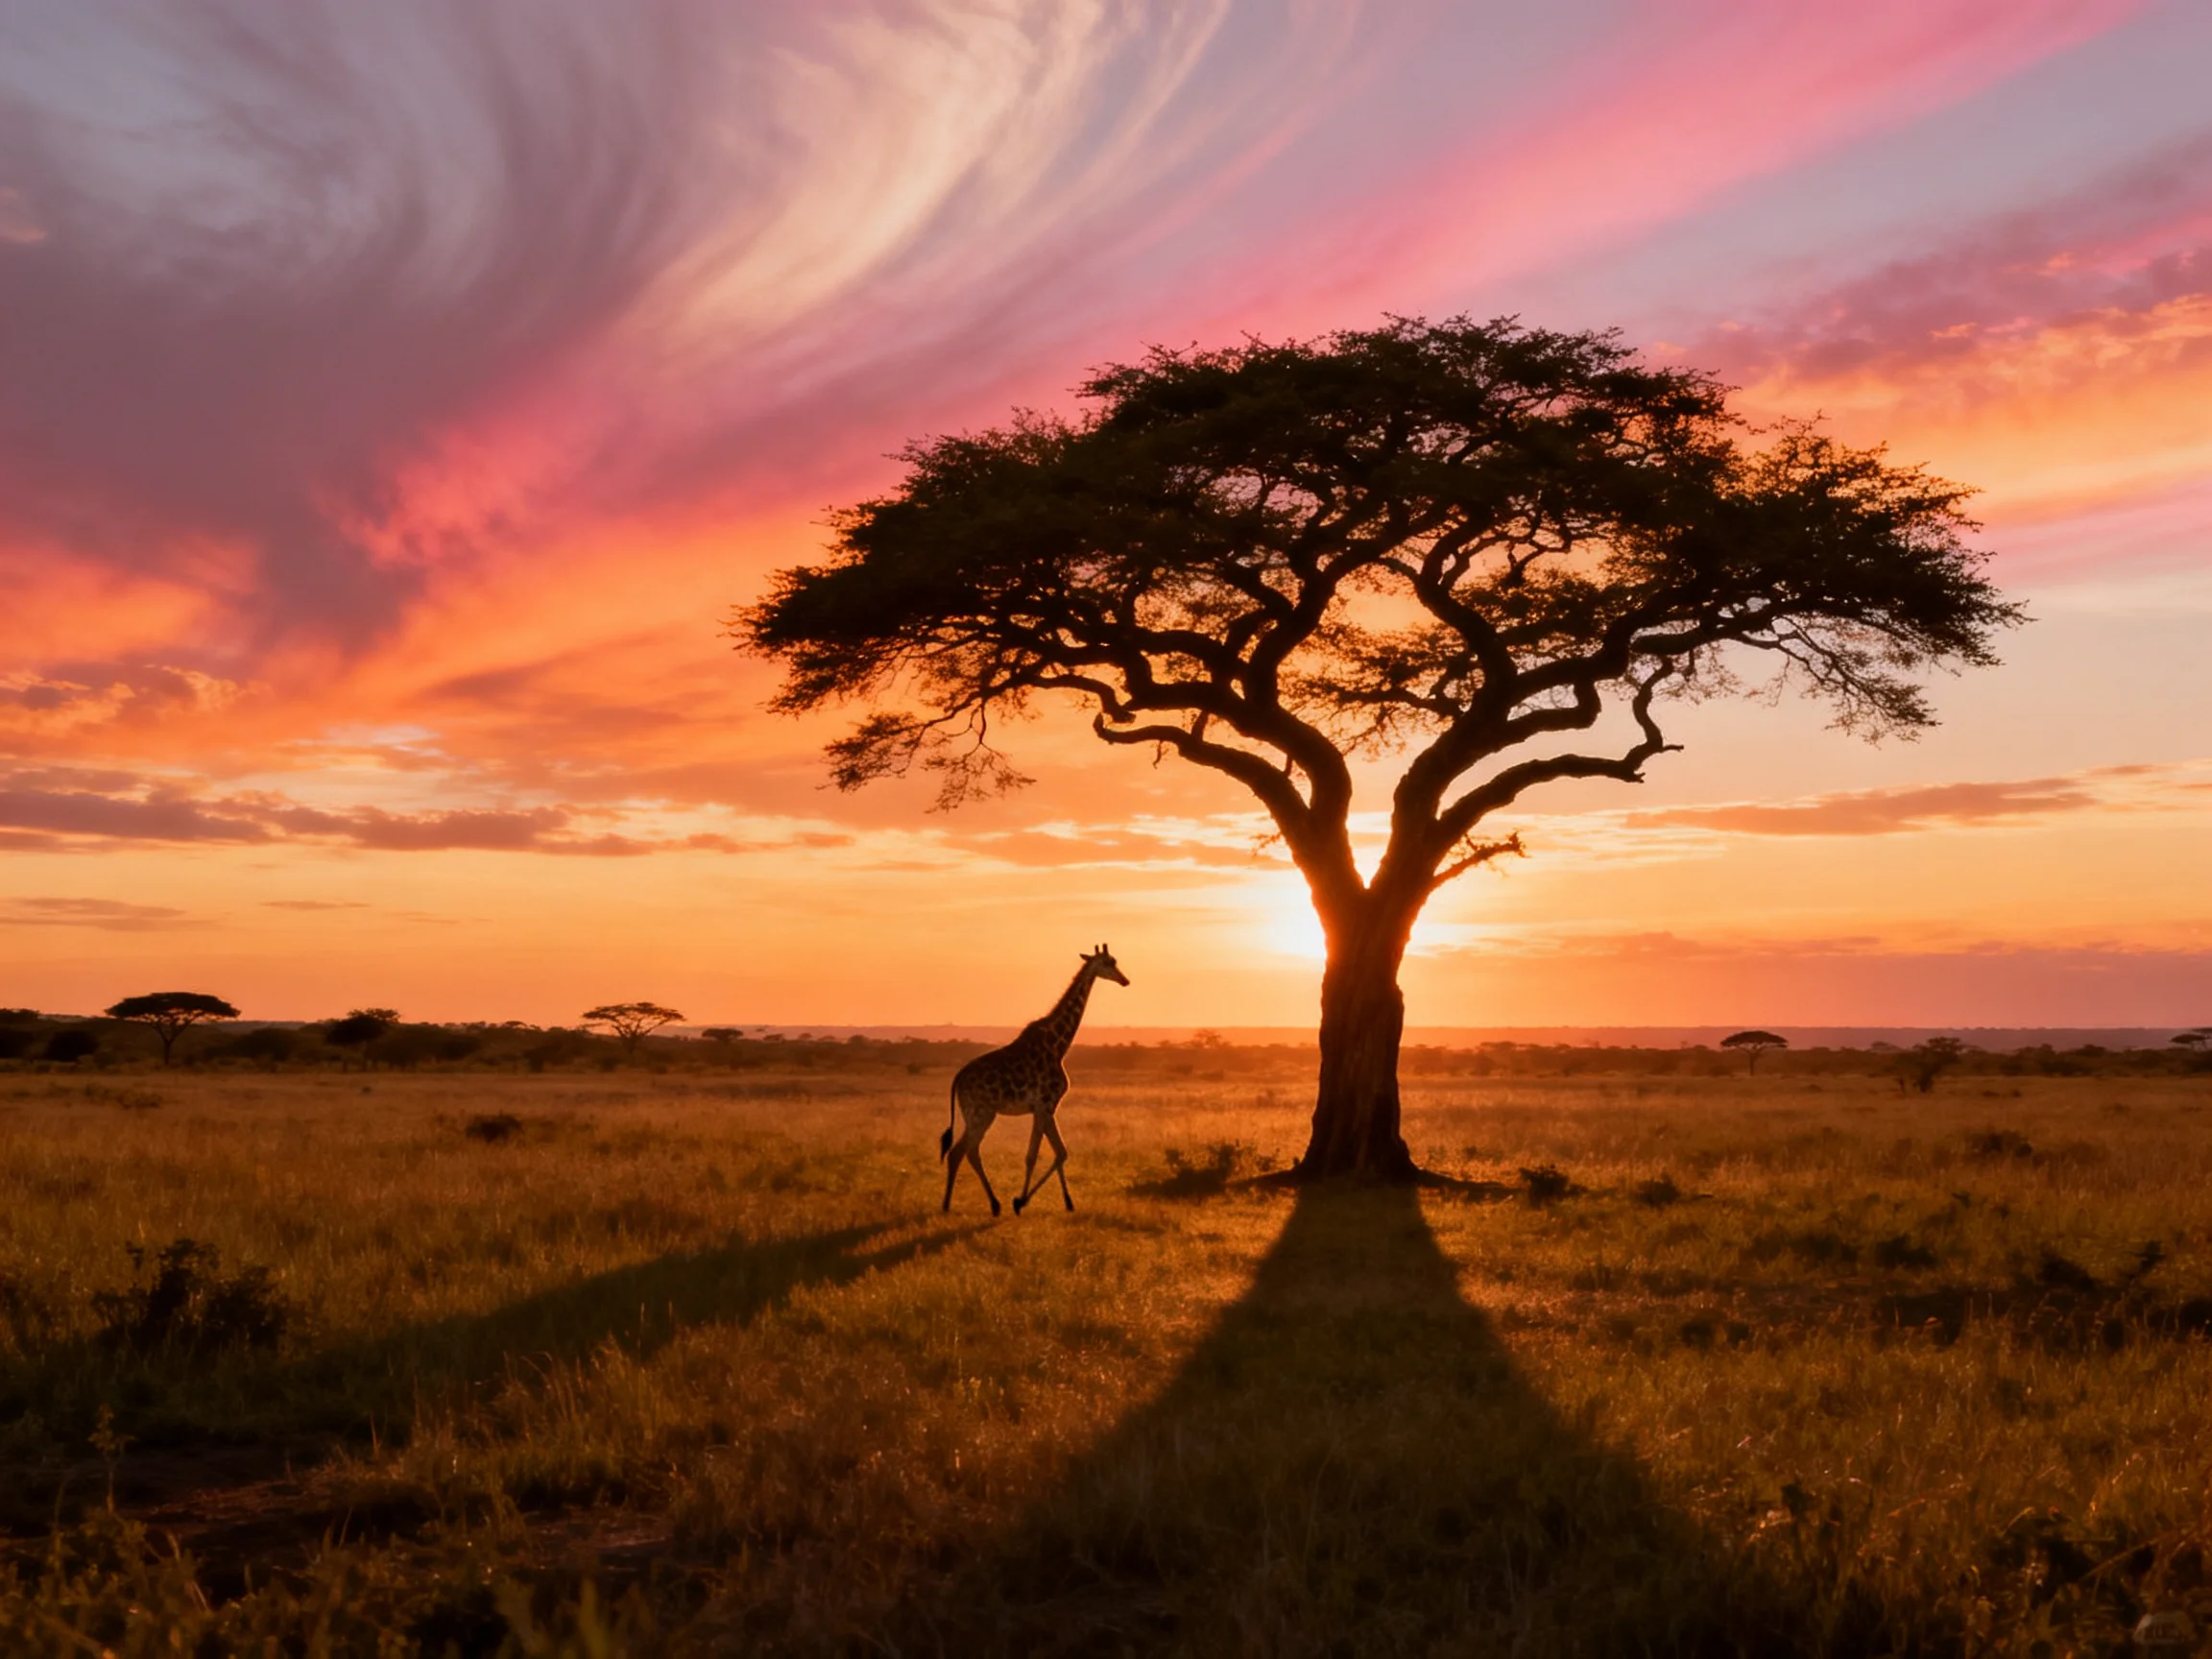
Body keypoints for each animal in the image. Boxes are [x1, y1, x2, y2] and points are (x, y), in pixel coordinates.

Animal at [940, 945, 1130, 1216]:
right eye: (1107, 963)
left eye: (1115, 961)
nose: (1125, 980)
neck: (1058, 1046)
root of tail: (957, 1078)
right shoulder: (1044, 1105)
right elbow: (1034, 1155)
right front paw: (1020, 1201)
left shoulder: (1048, 1108)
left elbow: (1060, 1152)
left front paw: (1067, 1202)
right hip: (981, 1112)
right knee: (963, 1151)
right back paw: (967, 1204)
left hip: (975, 1113)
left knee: (965, 1151)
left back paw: (976, 1204)